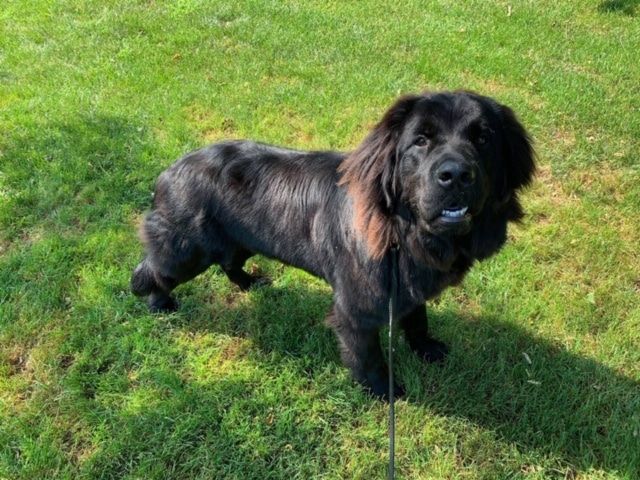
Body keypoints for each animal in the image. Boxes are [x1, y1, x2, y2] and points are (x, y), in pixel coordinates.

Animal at [131, 91, 536, 399]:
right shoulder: (357, 306)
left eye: (483, 138)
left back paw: (249, 284)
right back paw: (159, 305)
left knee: (229, 262)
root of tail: (169, 171)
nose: (455, 175)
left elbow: (417, 319)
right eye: (421, 140)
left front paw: (426, 348)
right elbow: (368, 354)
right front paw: (383, 390)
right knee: (154, 270)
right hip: (187, 250)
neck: (401, 231)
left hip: (241, 238)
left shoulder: (407, 289)